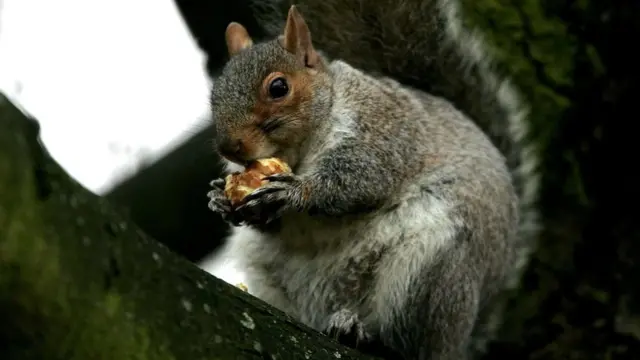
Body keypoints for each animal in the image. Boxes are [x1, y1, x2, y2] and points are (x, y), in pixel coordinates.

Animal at [205, 0, 540, 358]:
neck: (300, 150)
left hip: (428, 273)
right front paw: (220, 199)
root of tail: (459, 341)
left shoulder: (382, 130)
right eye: (214, 95)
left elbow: (361, 180)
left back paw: (361, 333)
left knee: (408, 344)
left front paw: (294, 192)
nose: (229, 147)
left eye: (278, 87)